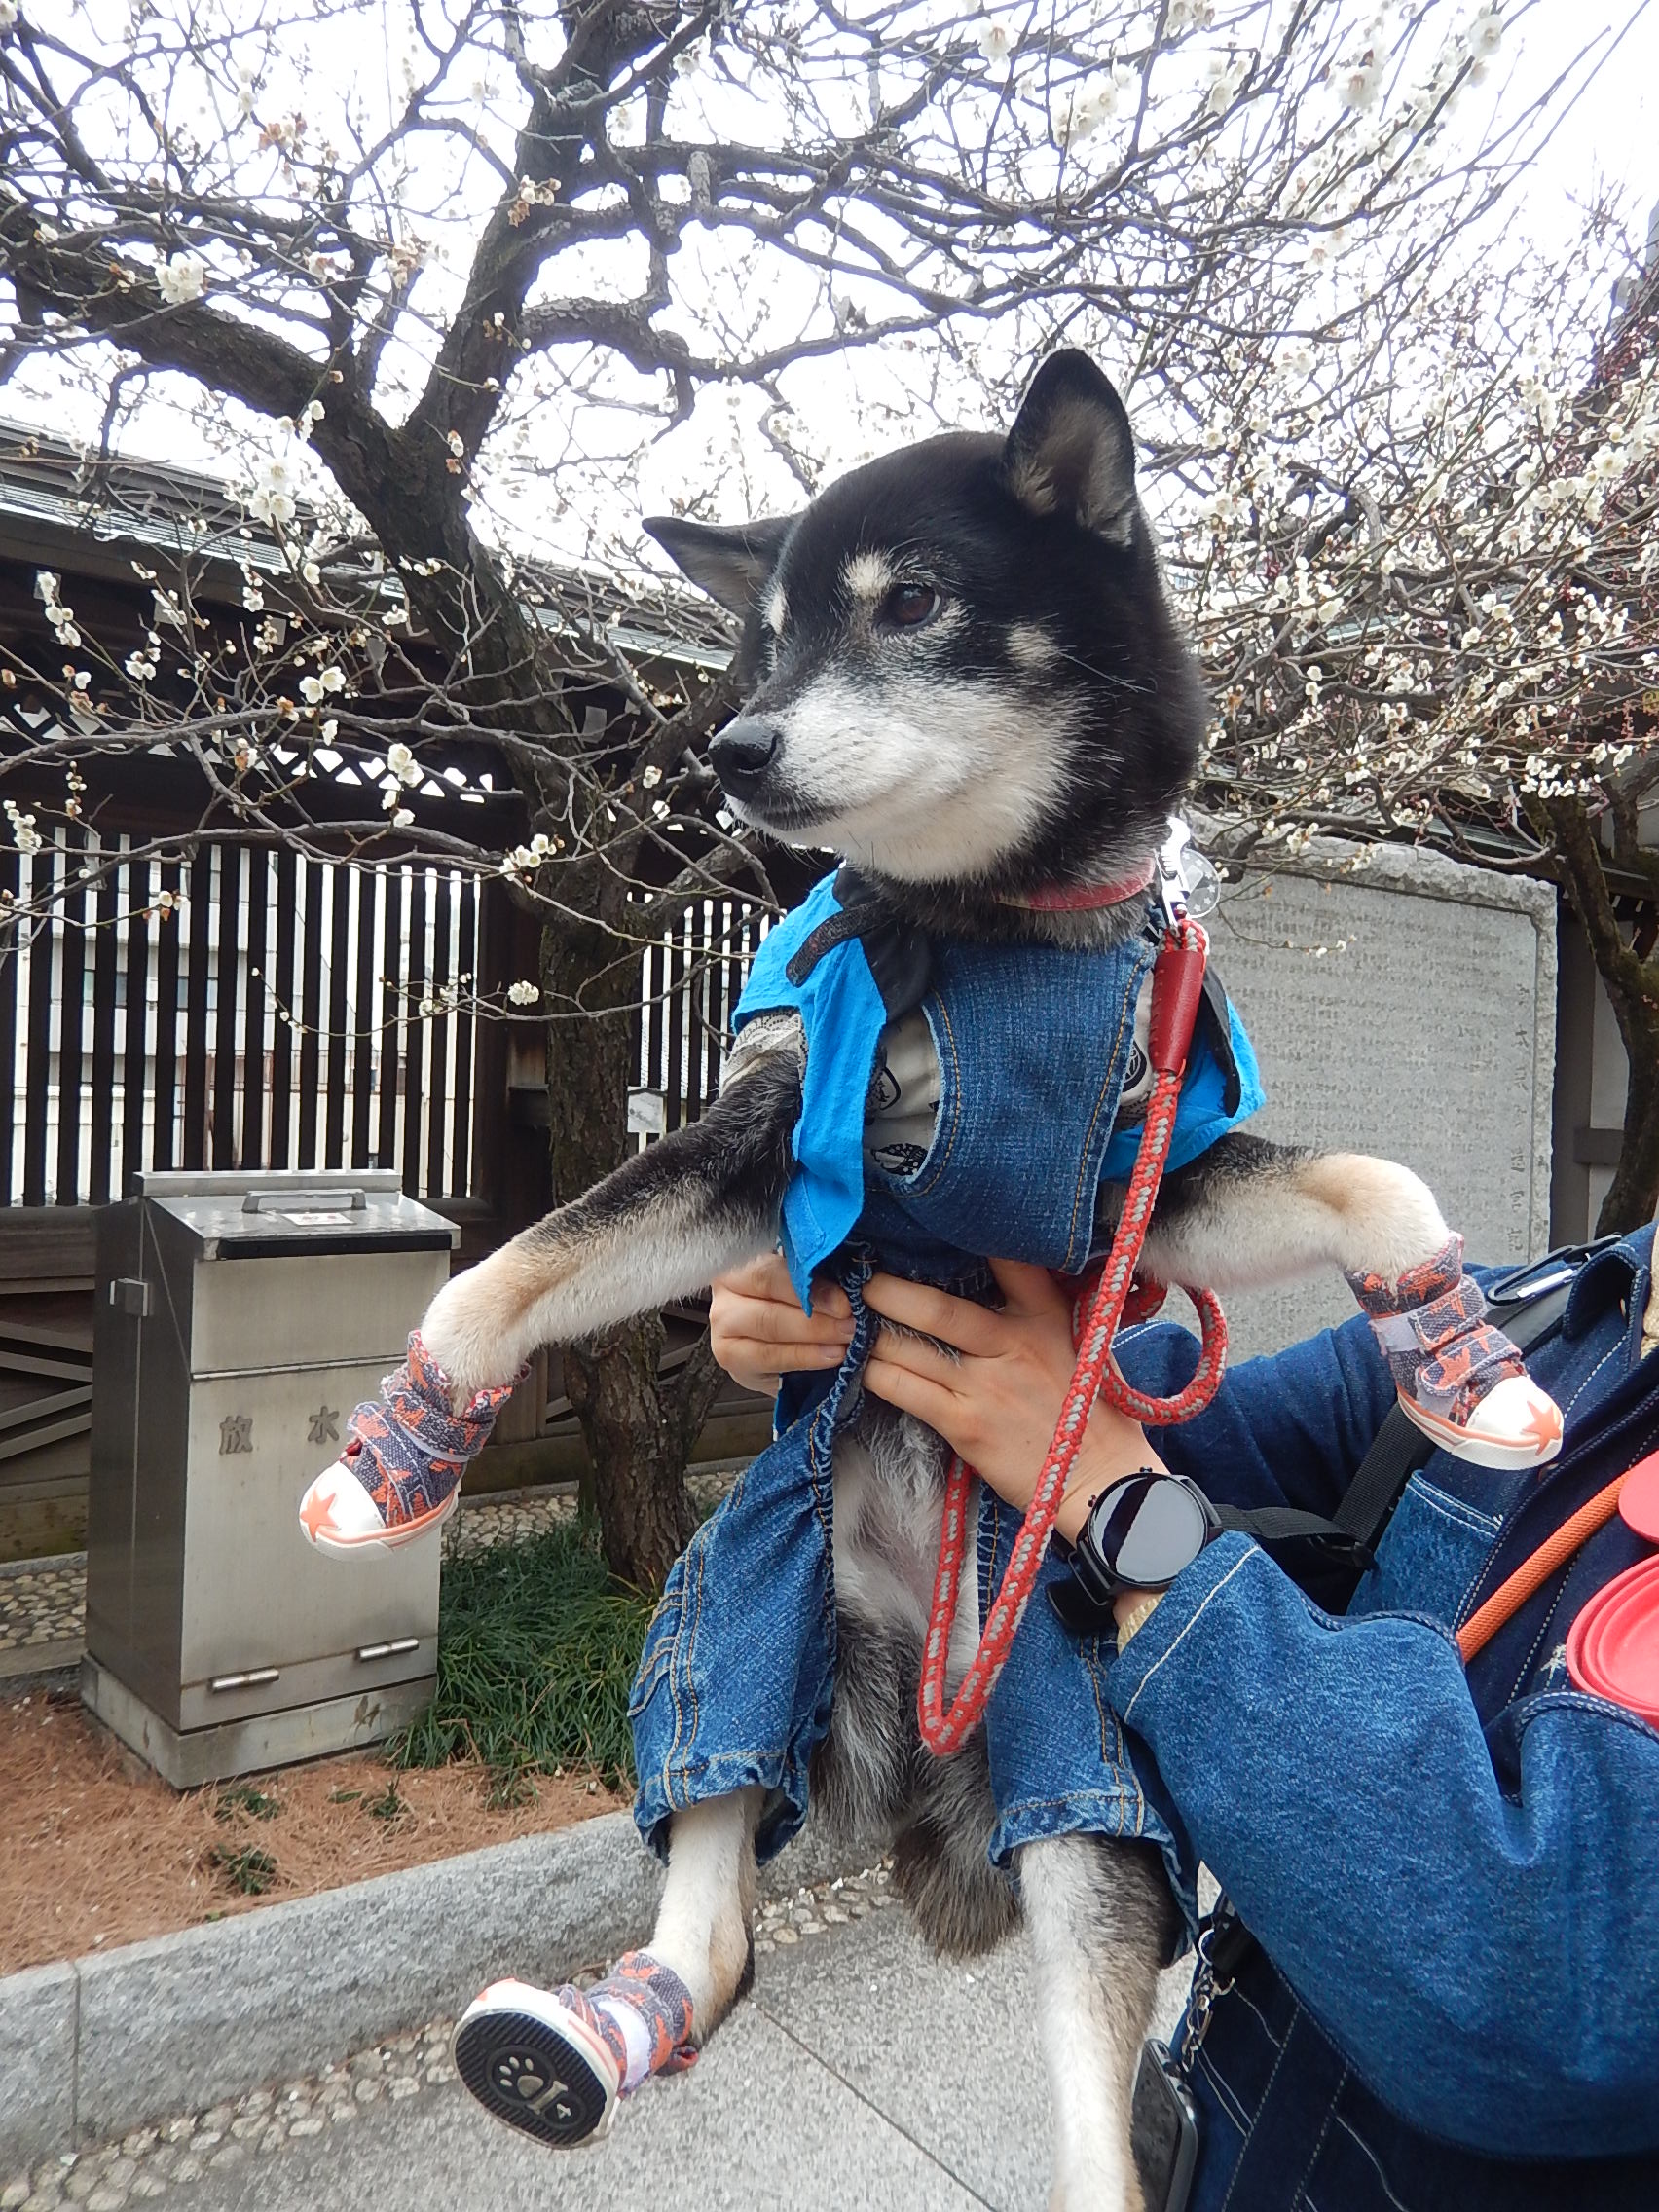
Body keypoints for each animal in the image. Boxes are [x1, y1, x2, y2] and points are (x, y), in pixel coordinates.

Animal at [305, 353, 1566, 2202]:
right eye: (761, 644)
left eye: (908, 606)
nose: (735, 743)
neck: (994, 936)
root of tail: (914, 1730)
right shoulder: (772, 1144)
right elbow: (524, 1265)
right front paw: (402, 1445)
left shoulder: (1143, 1189)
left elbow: (1371, 1180)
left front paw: (1471, 1364)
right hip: (740, 1618)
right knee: (716, 1895)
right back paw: (590, 2035)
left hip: (1087, 1775)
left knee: (1086, 2054)